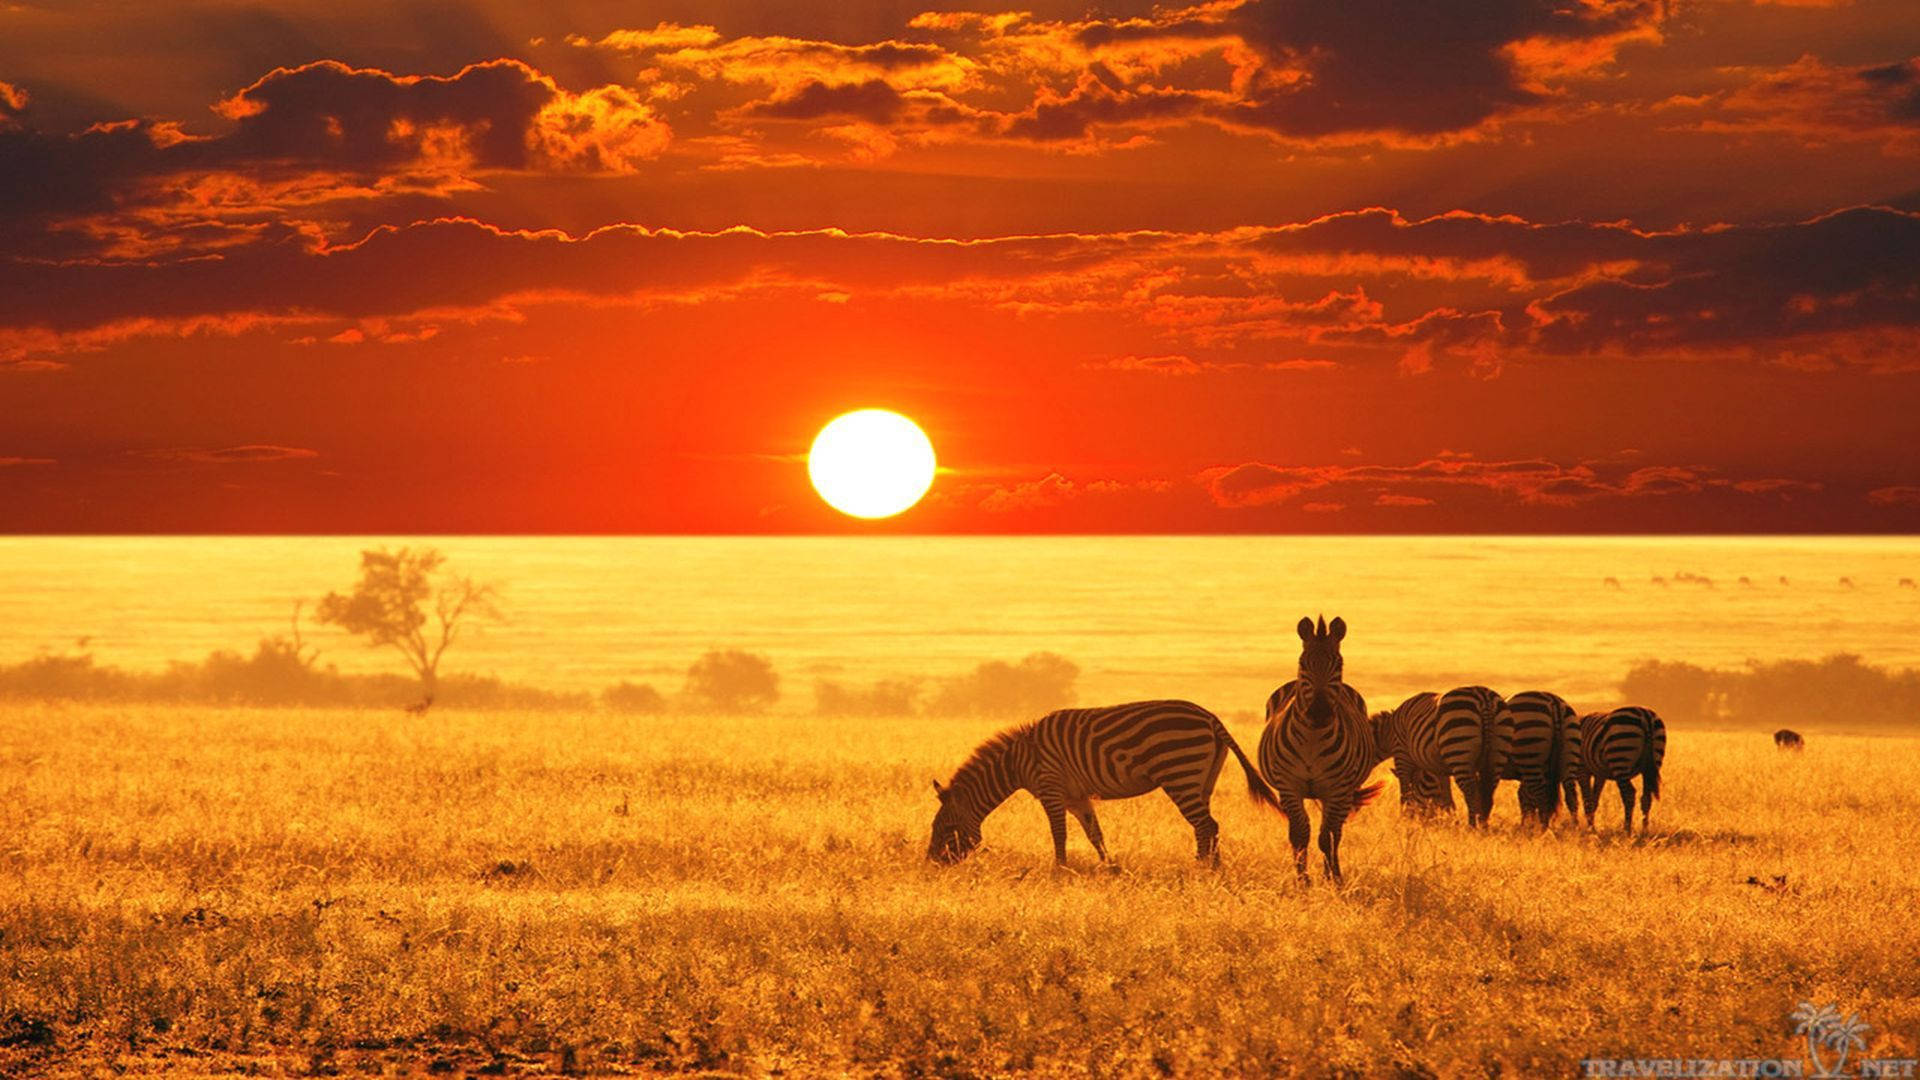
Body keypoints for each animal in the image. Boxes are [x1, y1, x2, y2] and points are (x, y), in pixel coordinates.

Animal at [925, 699, 1282, 864]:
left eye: (945, 828)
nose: (931, 865)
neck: (1017, 761)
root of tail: (1210, 716)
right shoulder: (1076, 797)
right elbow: (1094, 833)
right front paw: (1110, 868)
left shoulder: (1051, 789)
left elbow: (1059, 834)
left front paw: (1059, 872)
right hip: (1202, 778)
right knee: (1208, 825)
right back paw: (1209, 867)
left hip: (1180, 772)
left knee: (1205, 824)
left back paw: (1205, 869)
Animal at [1251, 614, 1390, 883]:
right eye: (1303, 663)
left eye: (1338, 665)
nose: (1319, 713)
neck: (1312, 739)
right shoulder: (1289, 786)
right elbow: (1299, 834)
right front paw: (1302, 880)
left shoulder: (1336, 789)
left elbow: (1326, 837)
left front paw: (1331, 878)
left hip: (1341, 792)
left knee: (1336, 831)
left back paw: (1334, 872)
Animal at [1443, 680, 1512, 822]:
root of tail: (1484, 700)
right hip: (1499, 752)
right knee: (1488, 794)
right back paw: (1483, 823)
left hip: (1460, 747)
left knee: (1471, 795)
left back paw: (1472, 824)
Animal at [1505, 684, 1582, 826]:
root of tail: (1553, 700)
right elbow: (1524, 798)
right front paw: (1526, 825)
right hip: (1569, 754)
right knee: (1571, 795)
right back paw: (1575, 828)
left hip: (1529, 755)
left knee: (1542, 797)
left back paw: (1543, 829)